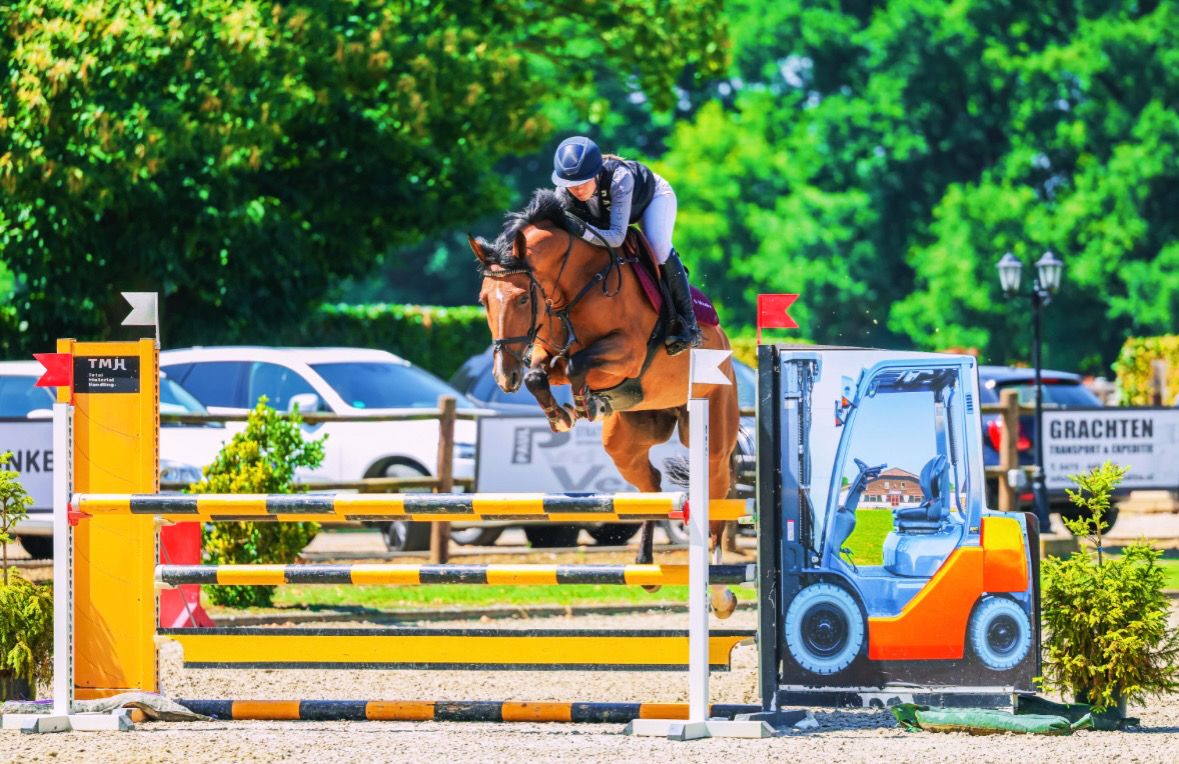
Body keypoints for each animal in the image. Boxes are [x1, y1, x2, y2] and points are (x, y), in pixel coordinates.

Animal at [468, 189, 740, 618]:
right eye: (483, 301)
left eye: (523, 298)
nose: (502, 376)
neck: (574, 286)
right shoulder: (548, 350)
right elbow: (543, 372)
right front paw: (565, 412)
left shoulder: (625, 352)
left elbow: (576, 363)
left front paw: (583, 403)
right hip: (626, 442)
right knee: (653, 485)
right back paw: (645, 567)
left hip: (711, 435)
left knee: (716, 496)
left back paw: (721, 592)